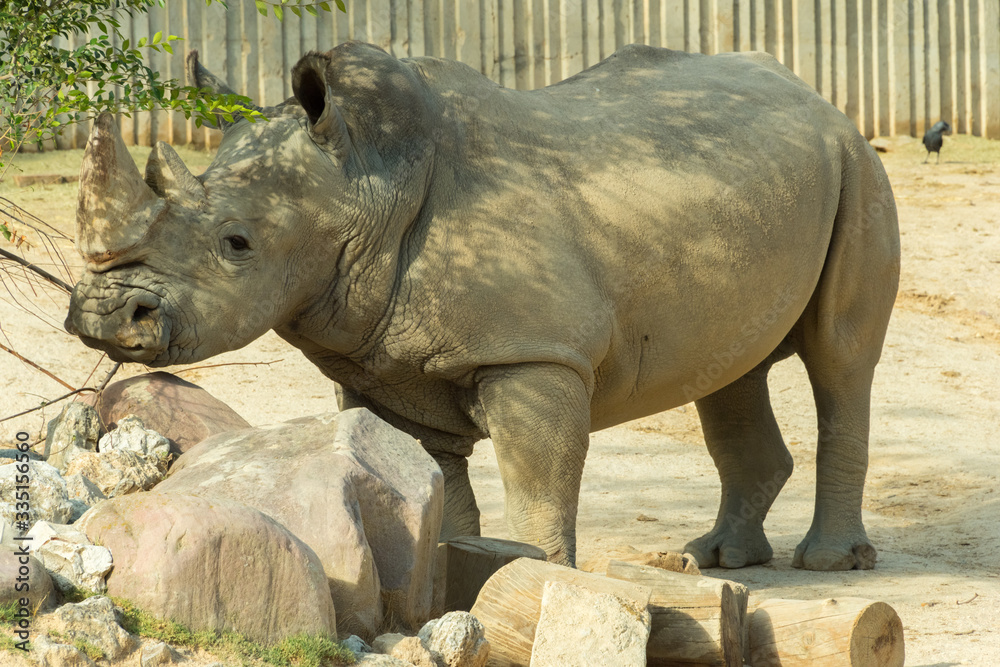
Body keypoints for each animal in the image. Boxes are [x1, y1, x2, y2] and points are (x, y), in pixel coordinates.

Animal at [66, 41, 899, 570]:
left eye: (237, 243)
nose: (105, 316)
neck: (365, 182)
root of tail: (815, 97)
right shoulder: (381, 363)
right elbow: (434, 482)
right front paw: (452, 572)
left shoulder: (534, 352)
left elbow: (536, 484)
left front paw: (541, 574)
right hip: (756, 186)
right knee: (730, 371)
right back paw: (712, 560)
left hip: (857, 164)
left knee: (841, 358)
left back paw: (829, 562)